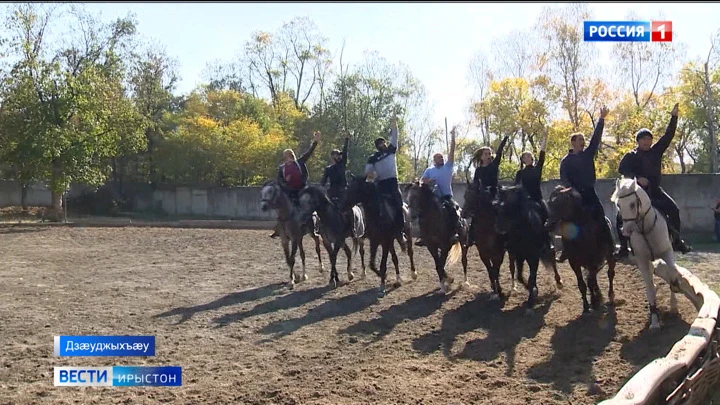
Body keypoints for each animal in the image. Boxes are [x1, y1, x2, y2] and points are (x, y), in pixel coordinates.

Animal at [548, 185, 616, 314]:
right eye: (549, 203)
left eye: (561, 202)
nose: (548, 225)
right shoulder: (574, 263)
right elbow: (582, 284)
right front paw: (586, 306)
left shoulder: (593, 261)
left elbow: (590, 282)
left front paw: (594, 302)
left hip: (609, 257)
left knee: (610, 274)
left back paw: (610, 295)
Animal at [612, 177, 684, 328]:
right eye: (619, 205)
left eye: (633, 204)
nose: (626, 231)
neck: (646, 228)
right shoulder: (642, 261)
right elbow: (650, 289)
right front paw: (654, 321)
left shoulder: (667, 252)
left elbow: (672, 273)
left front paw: (674, 303)